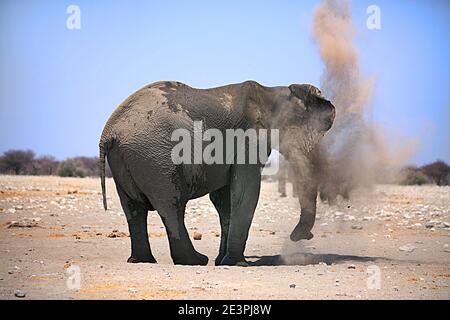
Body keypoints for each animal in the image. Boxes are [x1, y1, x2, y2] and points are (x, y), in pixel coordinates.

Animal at [100, 81, 336, 266]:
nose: (301, 236)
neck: (270, 93)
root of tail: (109, 132)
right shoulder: (246, 139)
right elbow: (246, 192)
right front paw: (237, 264)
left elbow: (224, 201)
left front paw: (222, 261)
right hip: (156, 158)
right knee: (172, 204)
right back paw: (195, 260)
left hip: (127, 158)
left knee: (133, 209)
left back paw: (142, 260)